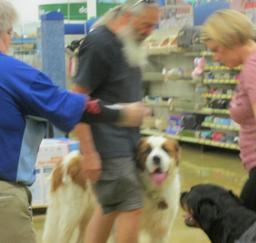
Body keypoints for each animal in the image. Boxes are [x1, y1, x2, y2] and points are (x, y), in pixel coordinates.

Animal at [42, 135, 180, 243]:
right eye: (147, 151)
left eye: (165, 150)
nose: (156, 158)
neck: (152, 190)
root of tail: (63, 161)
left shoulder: (160, 231)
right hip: (70, 215)